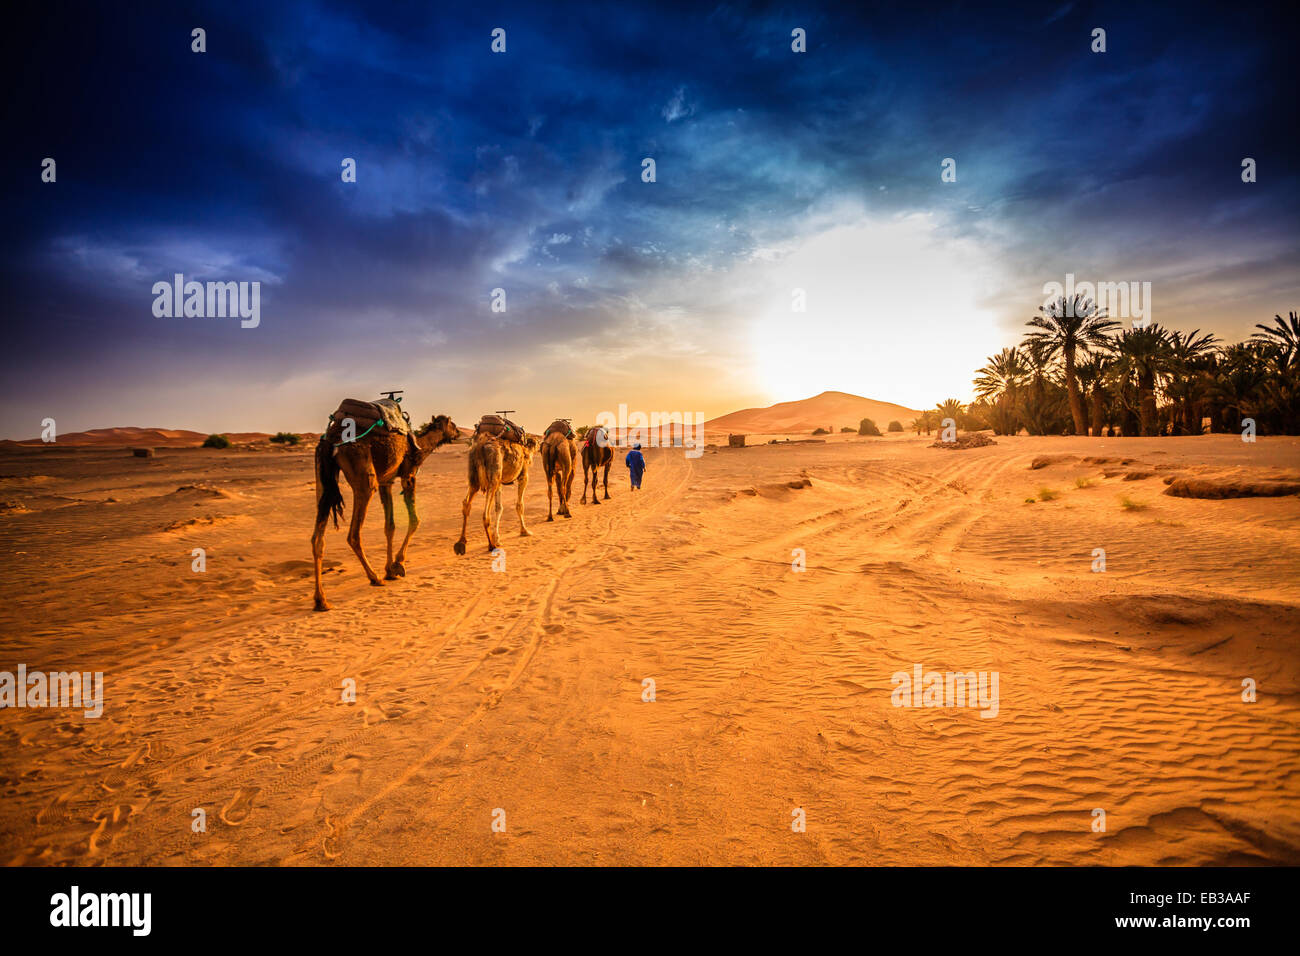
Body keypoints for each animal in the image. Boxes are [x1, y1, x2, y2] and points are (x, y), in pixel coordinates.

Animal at [312, 411, 460, 613]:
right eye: (452, 424)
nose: (458, 432)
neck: (420, 447)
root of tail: (331, 440)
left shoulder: (386, 482)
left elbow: (390, 526)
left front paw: (390, 570)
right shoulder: (409, 475)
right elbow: (415, 520)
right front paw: (398, 564)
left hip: (323, 478)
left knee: (317, 539)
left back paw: (321, 600)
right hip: (364, 478)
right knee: (353, 534)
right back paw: (374, 578)